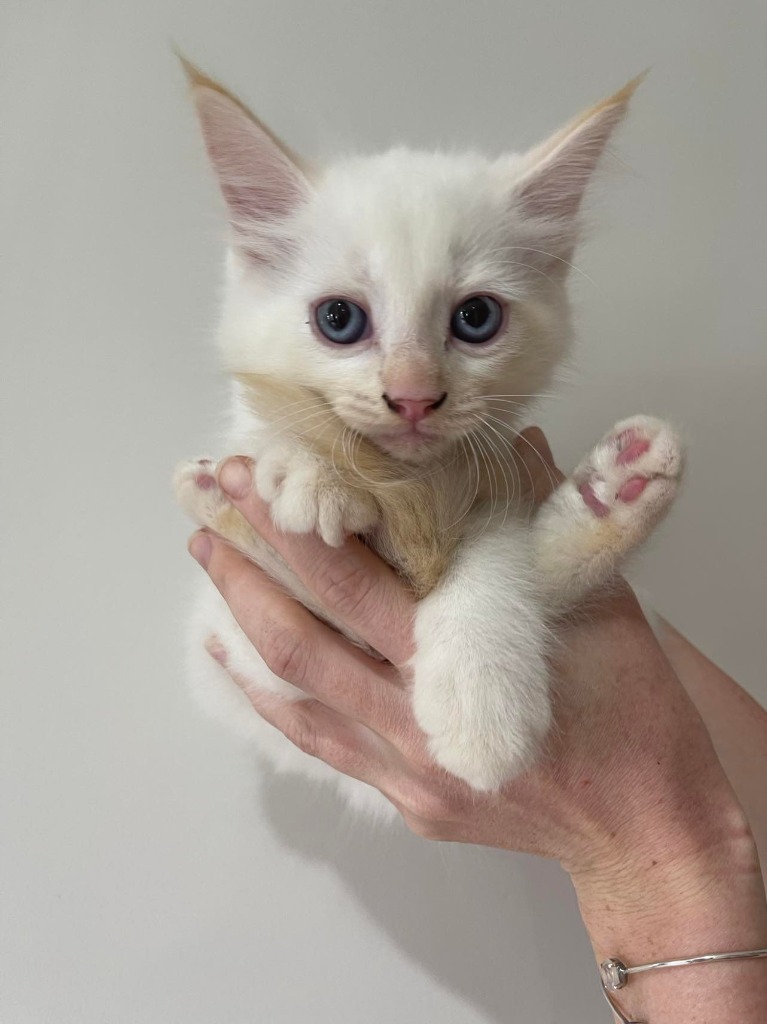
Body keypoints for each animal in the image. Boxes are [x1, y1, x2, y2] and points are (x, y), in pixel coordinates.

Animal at [174, 60, 683, 819]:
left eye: (476, 318)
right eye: (338, 318)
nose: (413, 396)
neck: (407, 486)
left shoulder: (496, 477)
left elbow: (496, 551)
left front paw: (481, 705)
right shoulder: (239, 646)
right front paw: (304, 470)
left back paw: (619, 489)